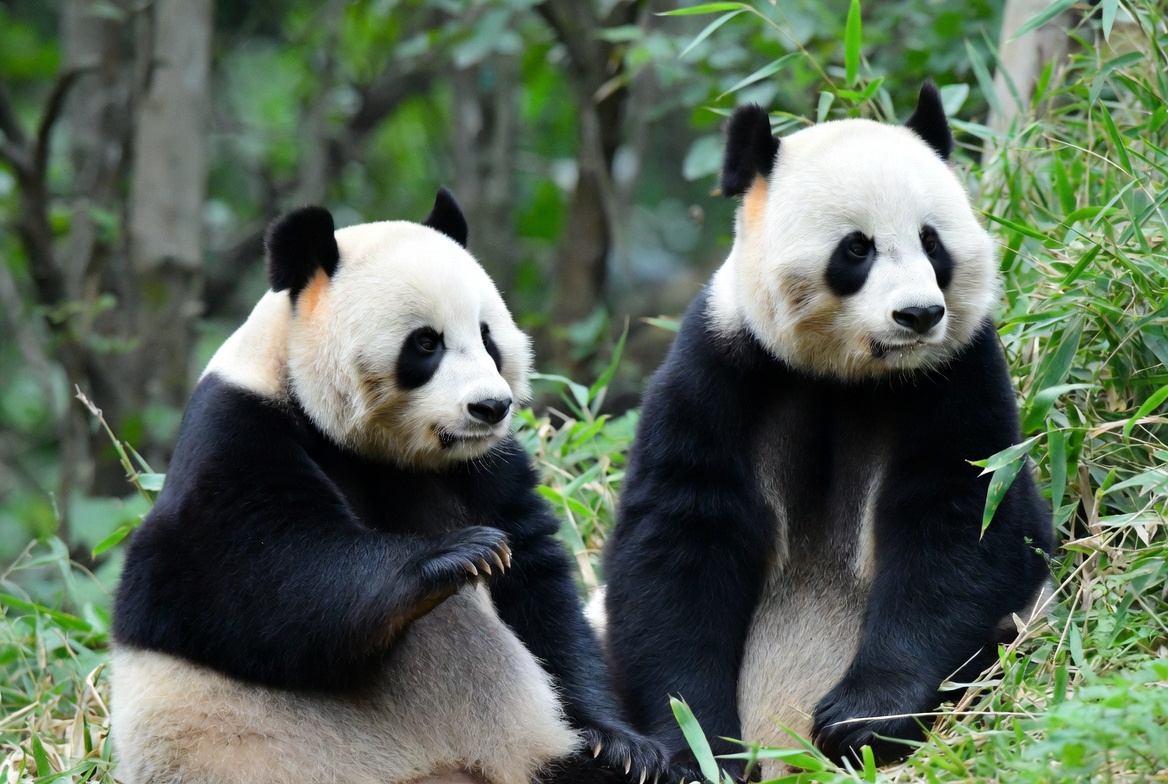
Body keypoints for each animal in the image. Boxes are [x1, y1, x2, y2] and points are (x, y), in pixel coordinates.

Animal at [110, 189, 666, 784]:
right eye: (425, 342)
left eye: (487, 337)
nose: (491, 407)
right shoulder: (237, 431)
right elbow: (252, 574)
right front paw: (457, 554)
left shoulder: (482, 469)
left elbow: (538, 591)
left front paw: (620, 746)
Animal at [601, 84, 1055, 778]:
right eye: (857, 248)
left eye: (932, 242)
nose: (918, 315)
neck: (850, 372)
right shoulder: (719, 370)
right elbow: (678, 545)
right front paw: (696, 747)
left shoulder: (960, 373)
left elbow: (962, 525)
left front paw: (861, 719)